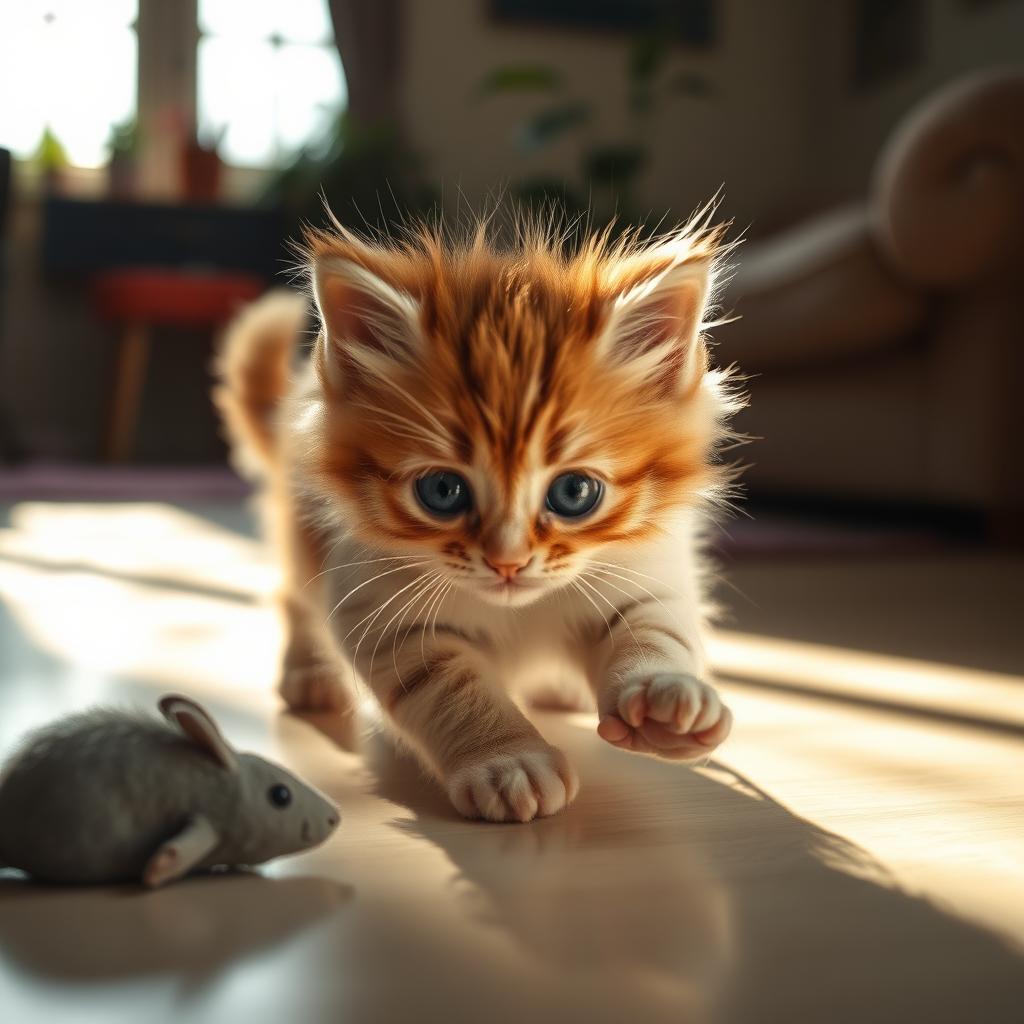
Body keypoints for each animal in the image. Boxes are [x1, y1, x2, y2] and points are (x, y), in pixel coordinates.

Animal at [216, 214, 745, 823]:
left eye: (575, 492)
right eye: (443, 491)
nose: (507, 562)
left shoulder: (644, 573)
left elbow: (653, 628)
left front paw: (665, 700)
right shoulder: (382, 611)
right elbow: (453, 688)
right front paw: (508, 760)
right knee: (293, 597)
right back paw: (312, 677)